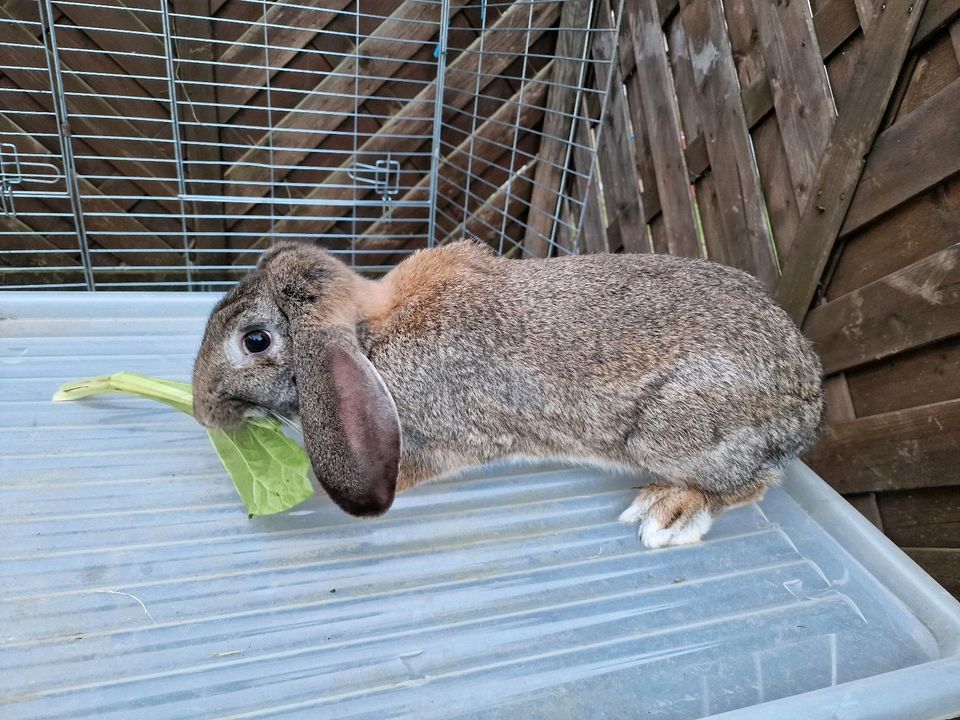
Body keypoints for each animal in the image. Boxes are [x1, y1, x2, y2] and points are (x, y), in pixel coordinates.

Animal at [195, 239, 824, 548]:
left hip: (674, 432)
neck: (369, 335)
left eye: (255, 340)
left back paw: (669, 511)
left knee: (753, 483)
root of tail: (809, 402)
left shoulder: (446, 437)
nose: (202, 410)